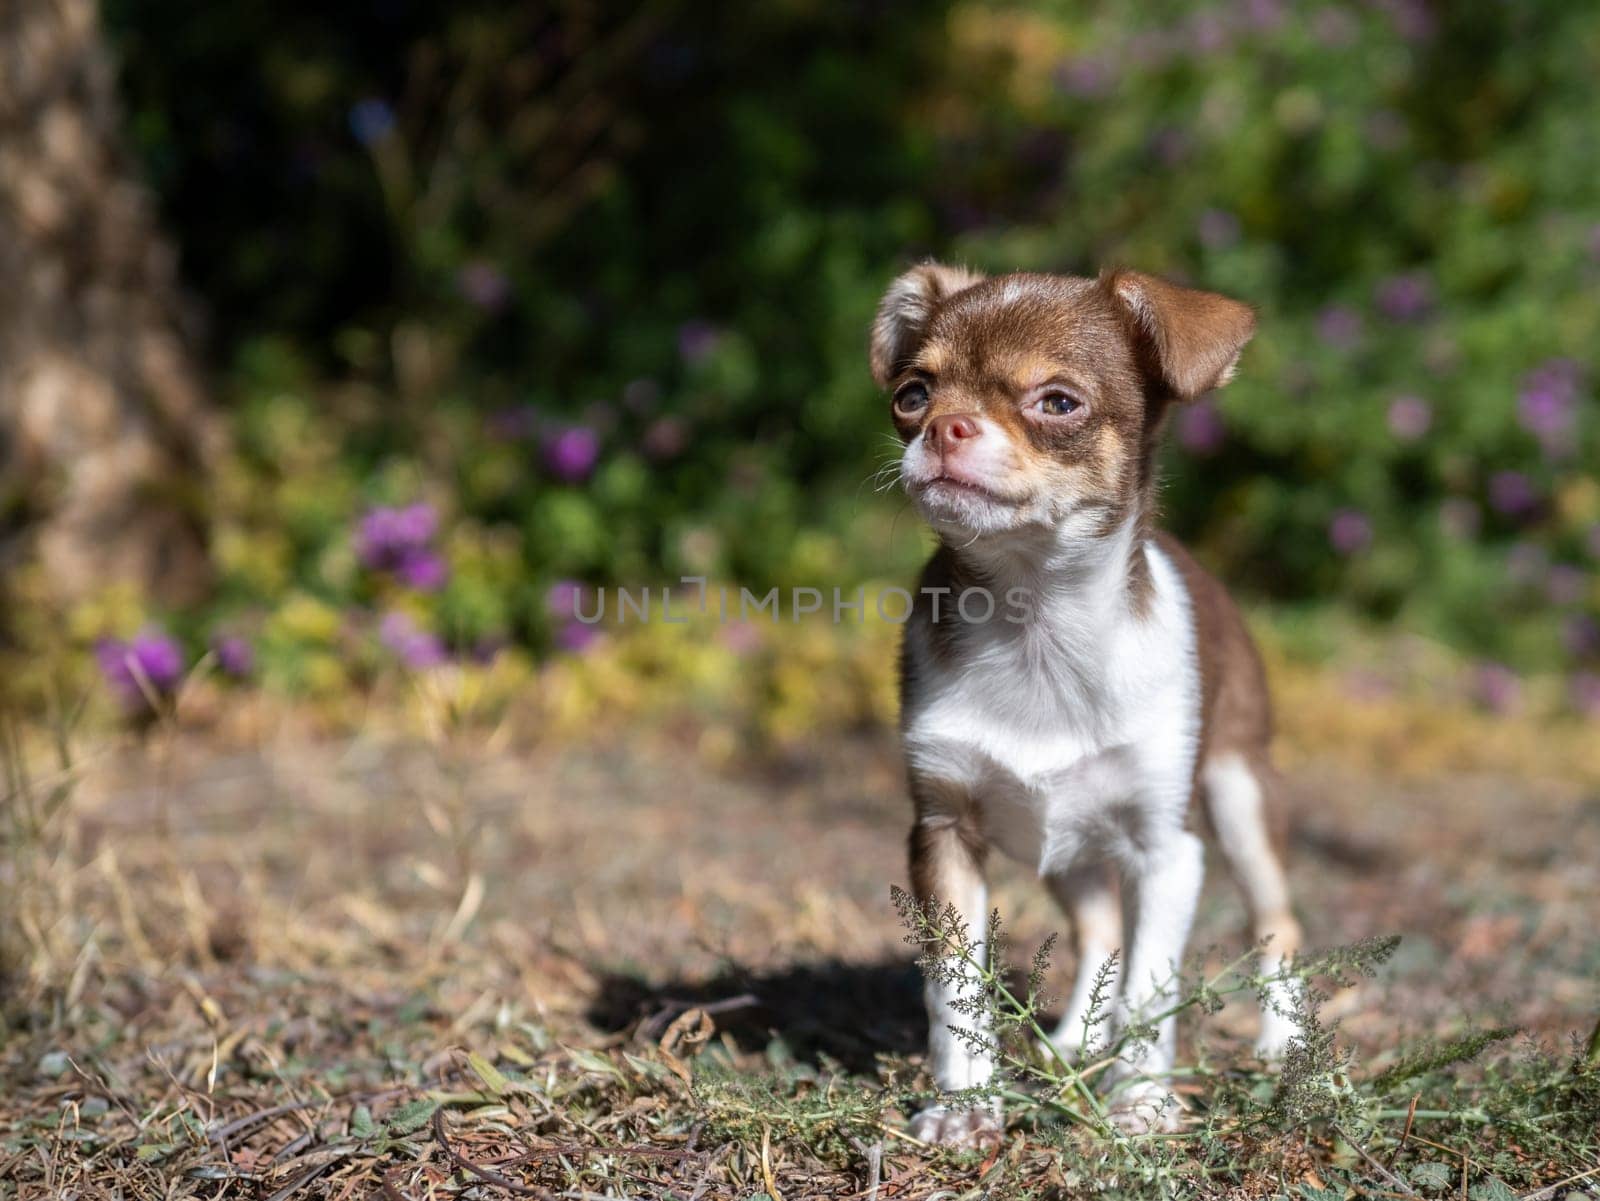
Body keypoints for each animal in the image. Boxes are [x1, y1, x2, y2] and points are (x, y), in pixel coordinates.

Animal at [876, 265, 1299, 1145]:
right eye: (911, 393)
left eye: (1058, 402)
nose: (943, 427)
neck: (1037, 624)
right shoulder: (944, 835)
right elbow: (955, 993)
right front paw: (963, 1110)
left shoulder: (1168, 852)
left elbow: (1150, 988)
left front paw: (1138, 1103)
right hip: (1065, 845)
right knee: (1100, 928)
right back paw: (1072, 1041)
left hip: (1240, 796)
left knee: (1277, 924)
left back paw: (1284, 1045)